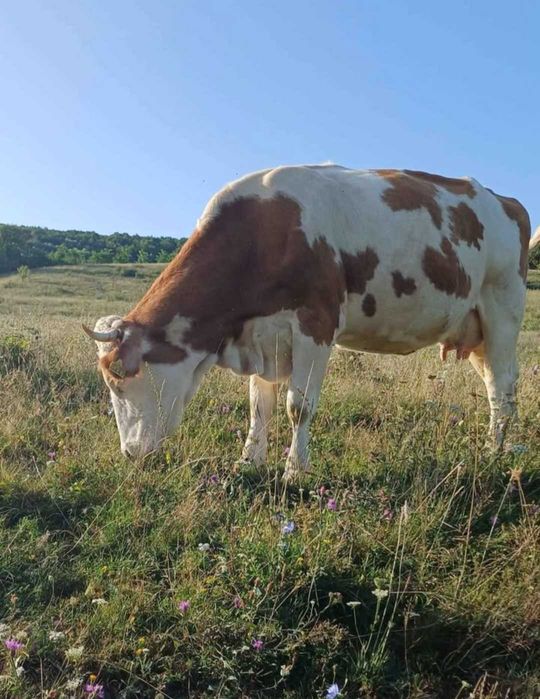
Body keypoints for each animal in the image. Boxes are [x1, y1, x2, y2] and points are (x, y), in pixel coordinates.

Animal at [83, 165, 538, 477]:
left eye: (118, 380)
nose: (129, 453)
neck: (266, 234)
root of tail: (503, 200)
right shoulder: (262, 336)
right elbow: (259, 405)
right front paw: (249, 461)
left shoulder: (316, 326)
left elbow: (297, 407)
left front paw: (294, 471)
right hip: (475, 330)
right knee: (494, 386)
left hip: (502, 309)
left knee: (502, 389)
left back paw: (494, 454)